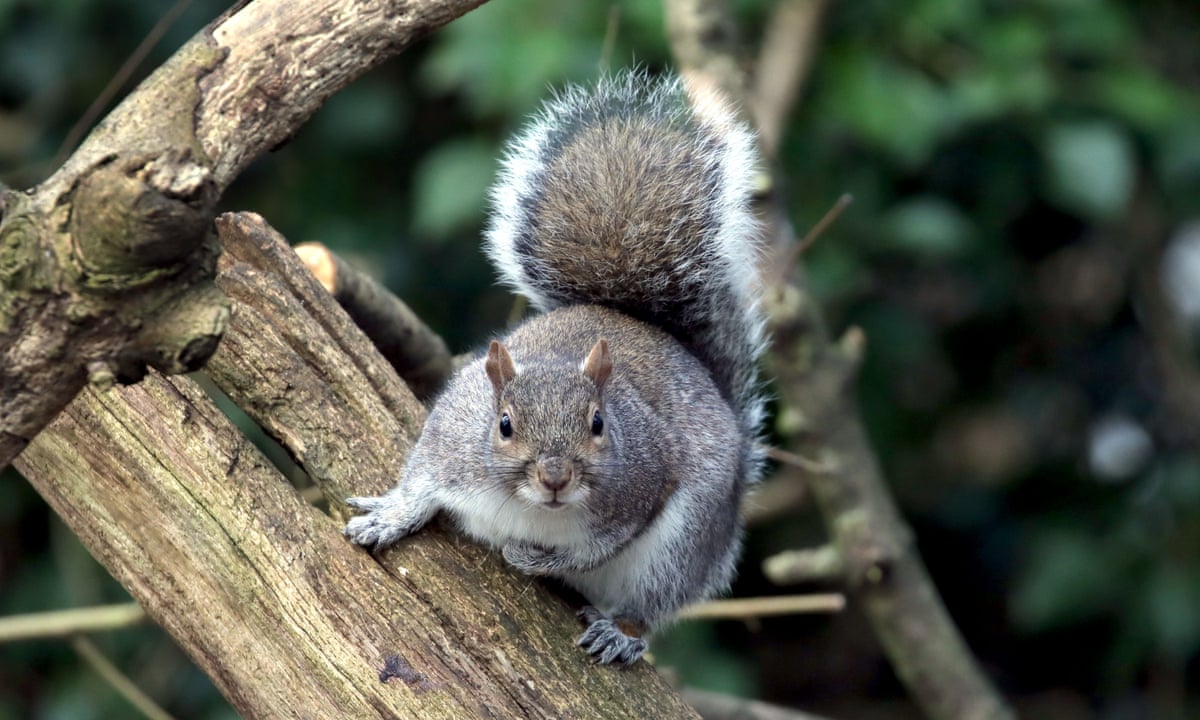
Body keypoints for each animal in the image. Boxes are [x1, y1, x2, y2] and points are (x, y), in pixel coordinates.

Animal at [344, 69, 766, 666]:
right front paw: (391, 515)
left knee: (650, 602)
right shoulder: (450, 440)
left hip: (687, 543)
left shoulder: (641, 488)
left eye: (599, 423)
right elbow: (420, 481)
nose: (555, 477)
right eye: (503, 424)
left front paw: (536, 558)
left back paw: (621, 634)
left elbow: (590, 552)